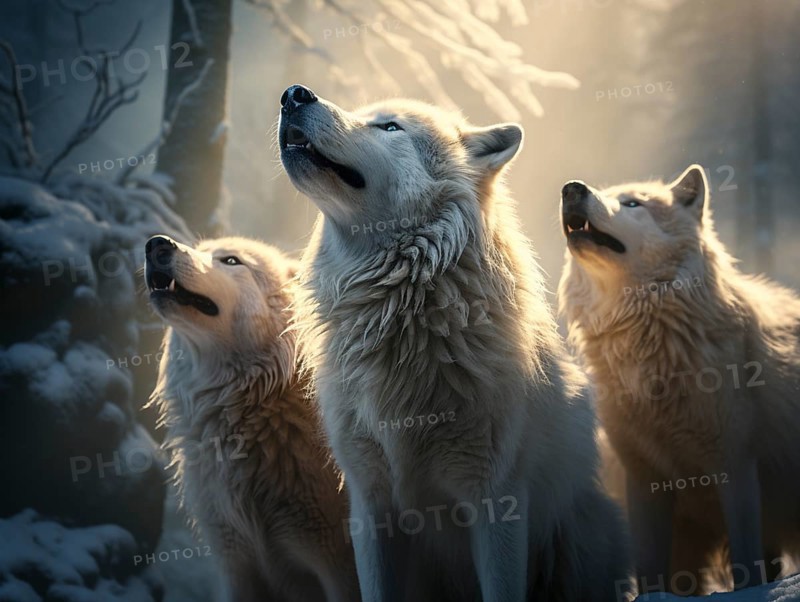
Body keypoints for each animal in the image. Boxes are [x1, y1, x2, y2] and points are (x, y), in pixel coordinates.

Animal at [558, 166, 800, 595]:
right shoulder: (642, 479)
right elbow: (650, 570)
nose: (571, 189)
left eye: (632, 203)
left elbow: (746, 562)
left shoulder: (735, 466)